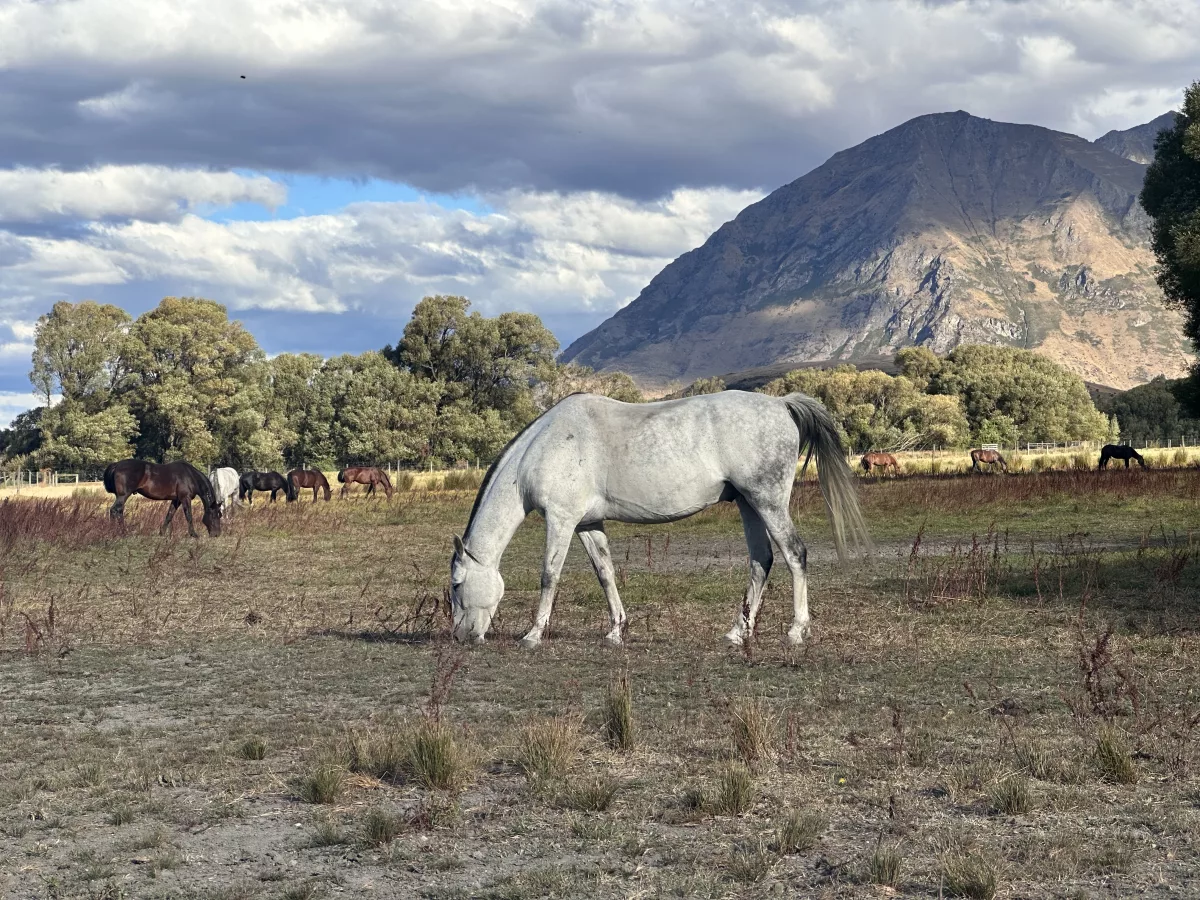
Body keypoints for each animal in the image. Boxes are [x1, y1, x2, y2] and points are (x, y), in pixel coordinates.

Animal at [450, 391, 869, 648]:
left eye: (456, 585)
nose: (460, 635)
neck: (546, 445)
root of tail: (782, 404)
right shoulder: (587, 525)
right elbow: (605, 573)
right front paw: (616, 631)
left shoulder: (561, 520)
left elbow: (549, 576)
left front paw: (533, 634)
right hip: (749, 504)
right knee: (760, 561)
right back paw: (738, 632)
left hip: (768, 502)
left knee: (795, 555)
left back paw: (796, 631)